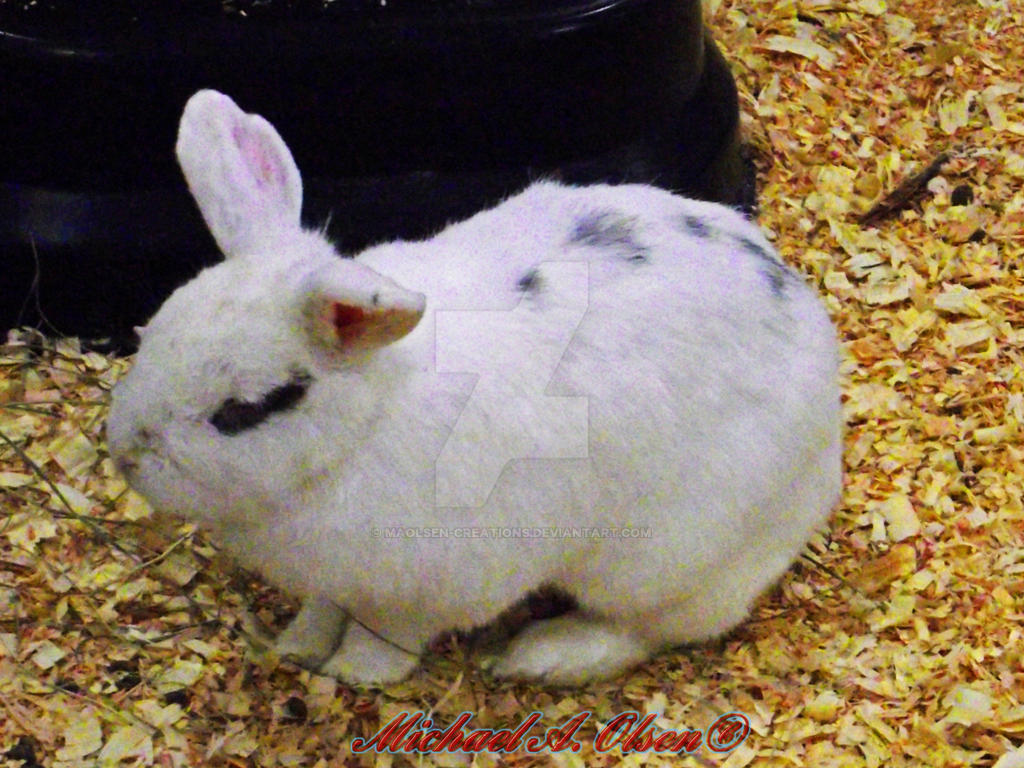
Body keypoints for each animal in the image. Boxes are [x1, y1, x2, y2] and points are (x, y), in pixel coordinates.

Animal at [106, 89, 842, 687]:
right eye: (152, 331)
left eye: (247, 410)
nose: (125, 456)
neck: (361, 431)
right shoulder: (335, 579)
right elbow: (324, 609)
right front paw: (297, 648)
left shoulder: (419, 590)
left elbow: (387, 640)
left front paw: (353, 674)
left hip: (661, 561)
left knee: (655, 627)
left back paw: (543, 657)